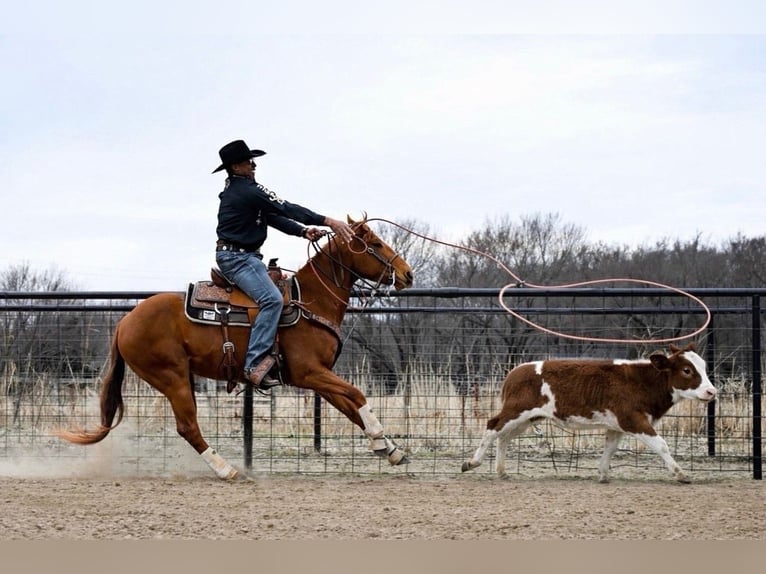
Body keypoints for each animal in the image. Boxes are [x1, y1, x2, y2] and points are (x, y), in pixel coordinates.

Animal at [56, 216, 415, 479]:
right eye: (374, 244)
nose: (407, 274)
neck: (311, 300)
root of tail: (126, 321)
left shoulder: (320, 377)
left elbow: (350, 407)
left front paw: (390, 449)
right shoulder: (308, 372)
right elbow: (357, 395)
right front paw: (381, 437)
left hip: (181, 378)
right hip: (171, 378)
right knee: (188, 427)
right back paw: (227, 470)